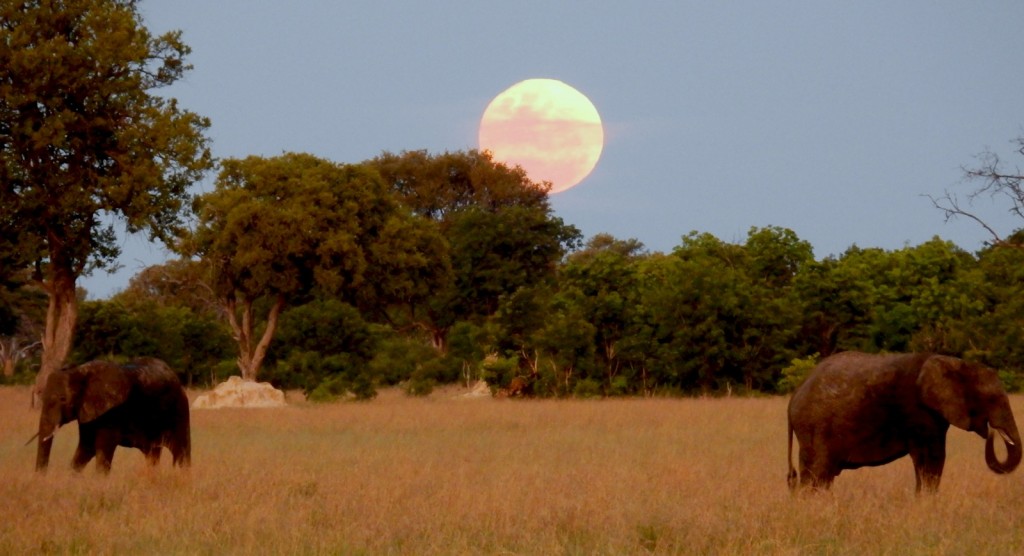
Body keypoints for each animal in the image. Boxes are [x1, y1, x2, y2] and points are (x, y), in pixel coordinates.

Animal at [36, 356, 192, 475]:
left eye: (63, 399)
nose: (42, 477)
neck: (80, 371)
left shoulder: (113, 412)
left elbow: (103, 447)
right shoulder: (89, 412)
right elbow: (87, 447)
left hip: (180, 410)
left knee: (181, 452)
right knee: (152, 454)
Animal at [786, 352, 1019, 491]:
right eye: (992, 399)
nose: (993, 432)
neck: (954, 363)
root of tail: (794, 395)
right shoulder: (919, 413)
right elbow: (931, 458)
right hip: (815, 428)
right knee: (817, 473)